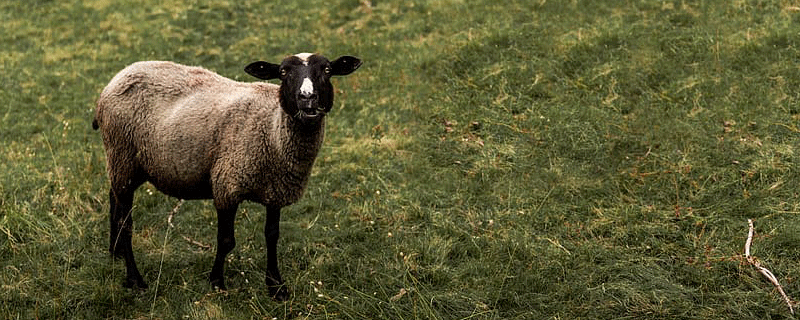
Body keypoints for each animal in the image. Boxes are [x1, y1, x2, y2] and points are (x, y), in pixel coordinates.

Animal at [91, 52, 362, 300]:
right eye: (284, 72)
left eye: (327, 70)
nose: (307, 98)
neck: (272, 128)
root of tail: (117, 78)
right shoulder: (227, 184)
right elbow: (226, 240)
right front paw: (217, 282)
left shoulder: (275, 189)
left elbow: (272, 236)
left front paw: (276, 286)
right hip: (122, 154)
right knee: (126, 222)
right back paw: (135, 279)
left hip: (125, 164)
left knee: (113, 198)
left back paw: (115, 251)